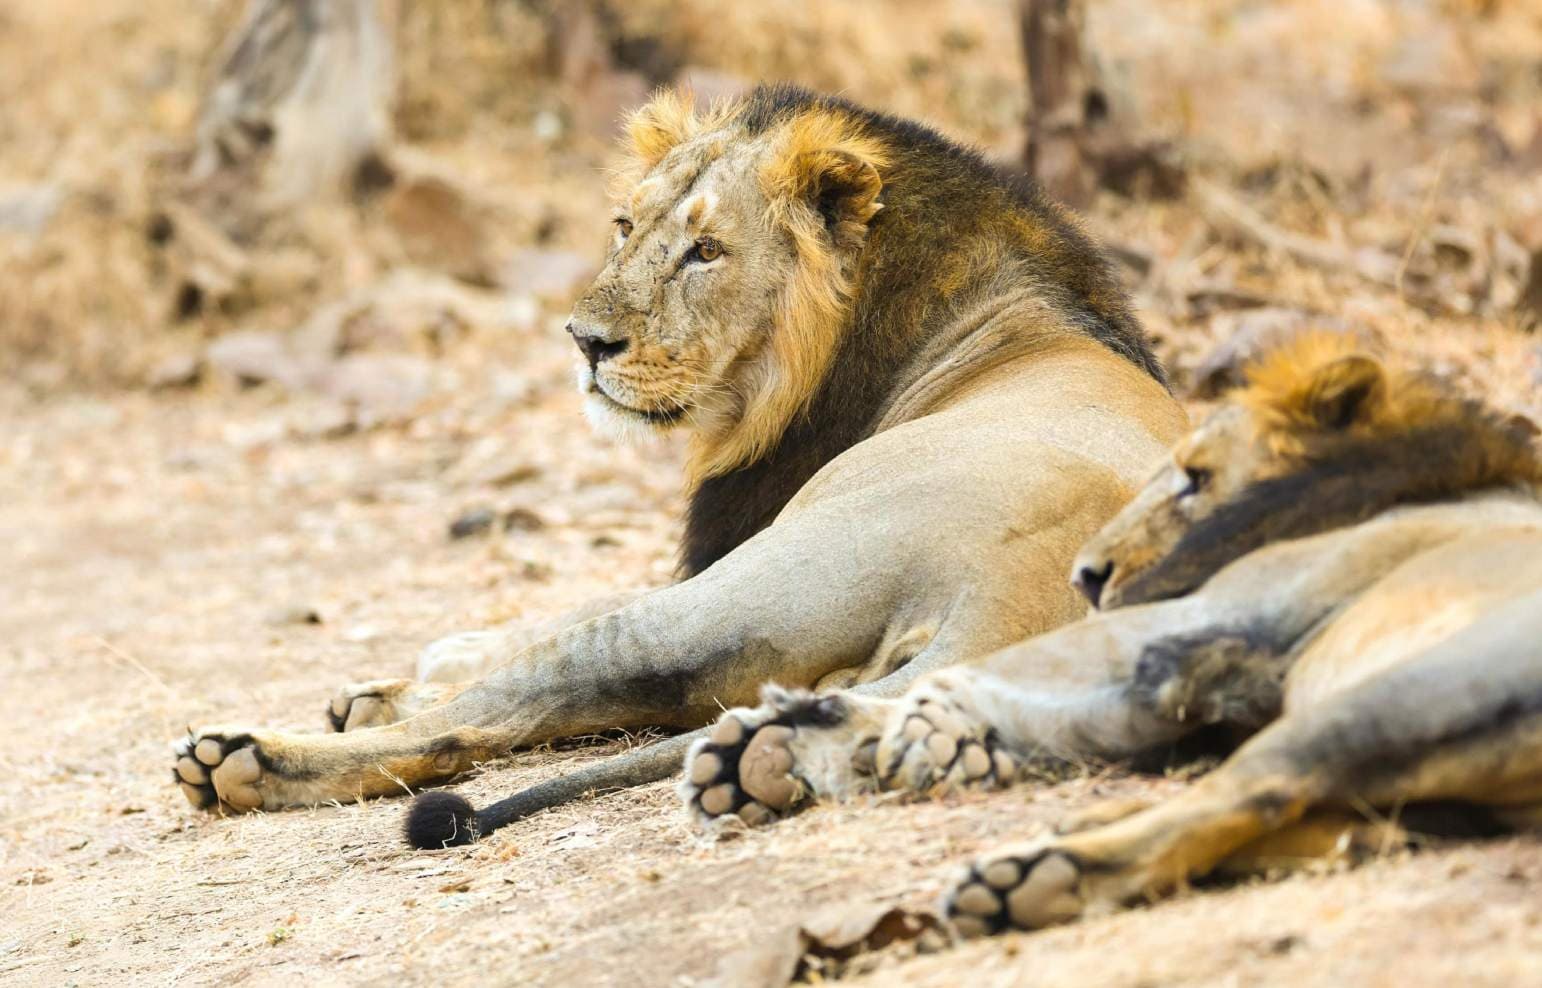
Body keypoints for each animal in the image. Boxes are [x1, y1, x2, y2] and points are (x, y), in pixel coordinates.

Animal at [169, 84, 1186, 840]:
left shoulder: (722, 546)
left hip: (738, 595)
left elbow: (550, 617)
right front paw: (377, 683)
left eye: (705, 251)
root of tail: (1012, 600)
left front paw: (404, 672)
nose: (585, 341)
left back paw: (244, 760)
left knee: (486, 715)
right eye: (625, 225)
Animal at [680, 334, 1542, 937]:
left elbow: (994, 675)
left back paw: (1031, 879)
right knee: (1318, 827)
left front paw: (815, 739)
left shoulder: (1207, 618)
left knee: (1251, 795)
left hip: (1390, 699)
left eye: (1197, 477)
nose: (1086, 576)